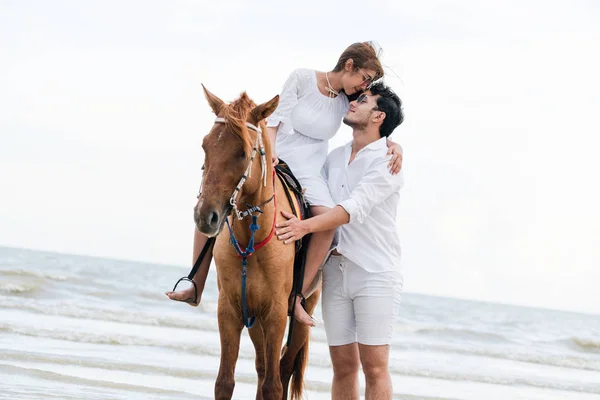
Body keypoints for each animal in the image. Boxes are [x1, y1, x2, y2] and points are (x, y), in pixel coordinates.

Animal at [196, 85, 318, 400]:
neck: (251, 237)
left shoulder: (275, 315)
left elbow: (274, 386)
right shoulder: (232, 310)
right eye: (205, 146)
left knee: (283, 368)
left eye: (242, 152)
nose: (205, 216)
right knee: (264, 367)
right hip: (255, 320)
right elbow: (224, 382)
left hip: (301, 316)